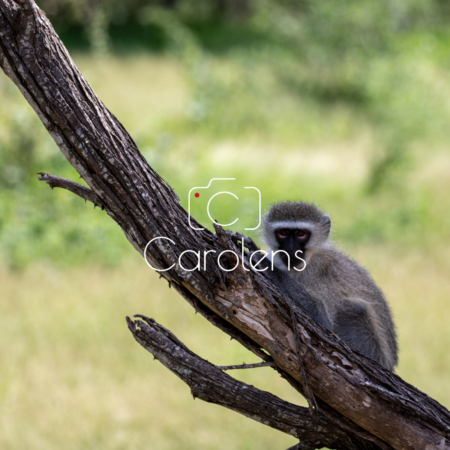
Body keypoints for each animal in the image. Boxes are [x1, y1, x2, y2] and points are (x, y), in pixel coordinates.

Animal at [232, 202, 398, 370]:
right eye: (283, 233)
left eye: (301, 234)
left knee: (355, 309)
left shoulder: (325, 271)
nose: (291, 249)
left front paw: (264, 263)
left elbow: (324, 321)